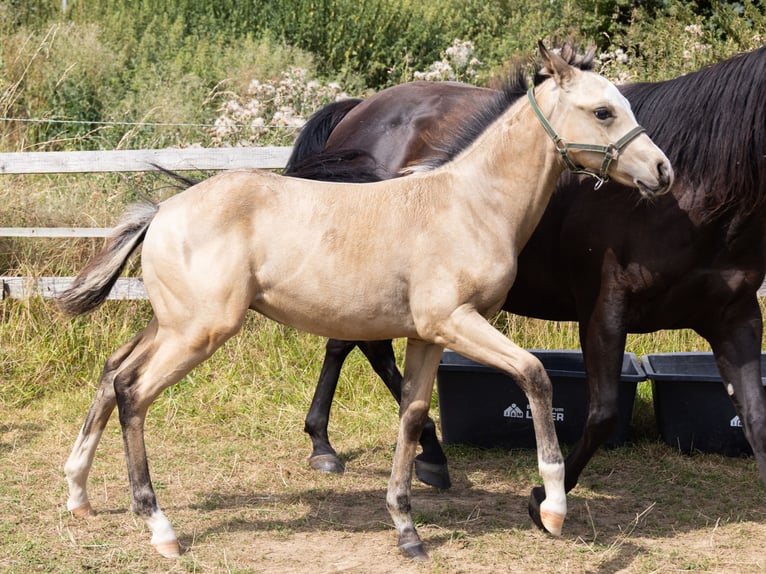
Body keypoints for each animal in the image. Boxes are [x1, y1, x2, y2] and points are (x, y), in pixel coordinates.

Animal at [284, 48, 766, 516]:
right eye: (603, 112)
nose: (663, 170)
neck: (697, 205)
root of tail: (357, 109)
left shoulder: (735, 318)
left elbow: (756, 416)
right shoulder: (604, 310)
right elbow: (603, 413)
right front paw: (543, 498)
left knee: (347, 344)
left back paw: (332, 442)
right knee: (371, 351)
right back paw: (410, 452)